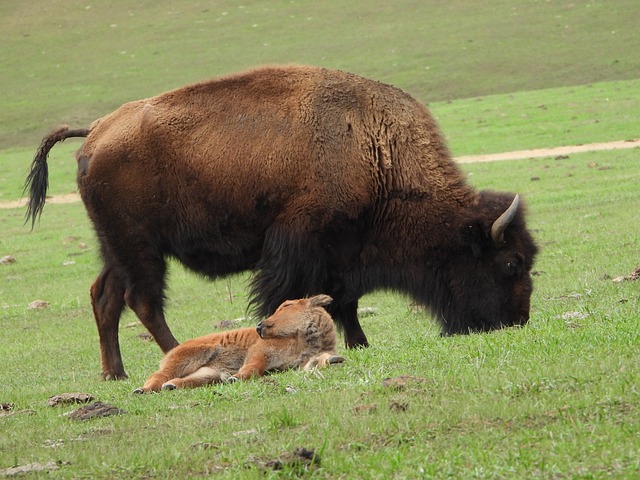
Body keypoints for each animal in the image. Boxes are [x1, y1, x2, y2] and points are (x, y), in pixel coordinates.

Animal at [25, 64, 536, 378]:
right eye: (510, 263)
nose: (517, 321)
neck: (374, 150)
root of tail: (97, 130)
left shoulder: (342, 255)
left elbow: (342, 301)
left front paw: (359, 343)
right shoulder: (302, 244)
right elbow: (299, 297)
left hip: (116, 247)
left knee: (105, 296)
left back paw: (115, 372)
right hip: (141, 247)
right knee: (142, 300)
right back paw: (168, 351)